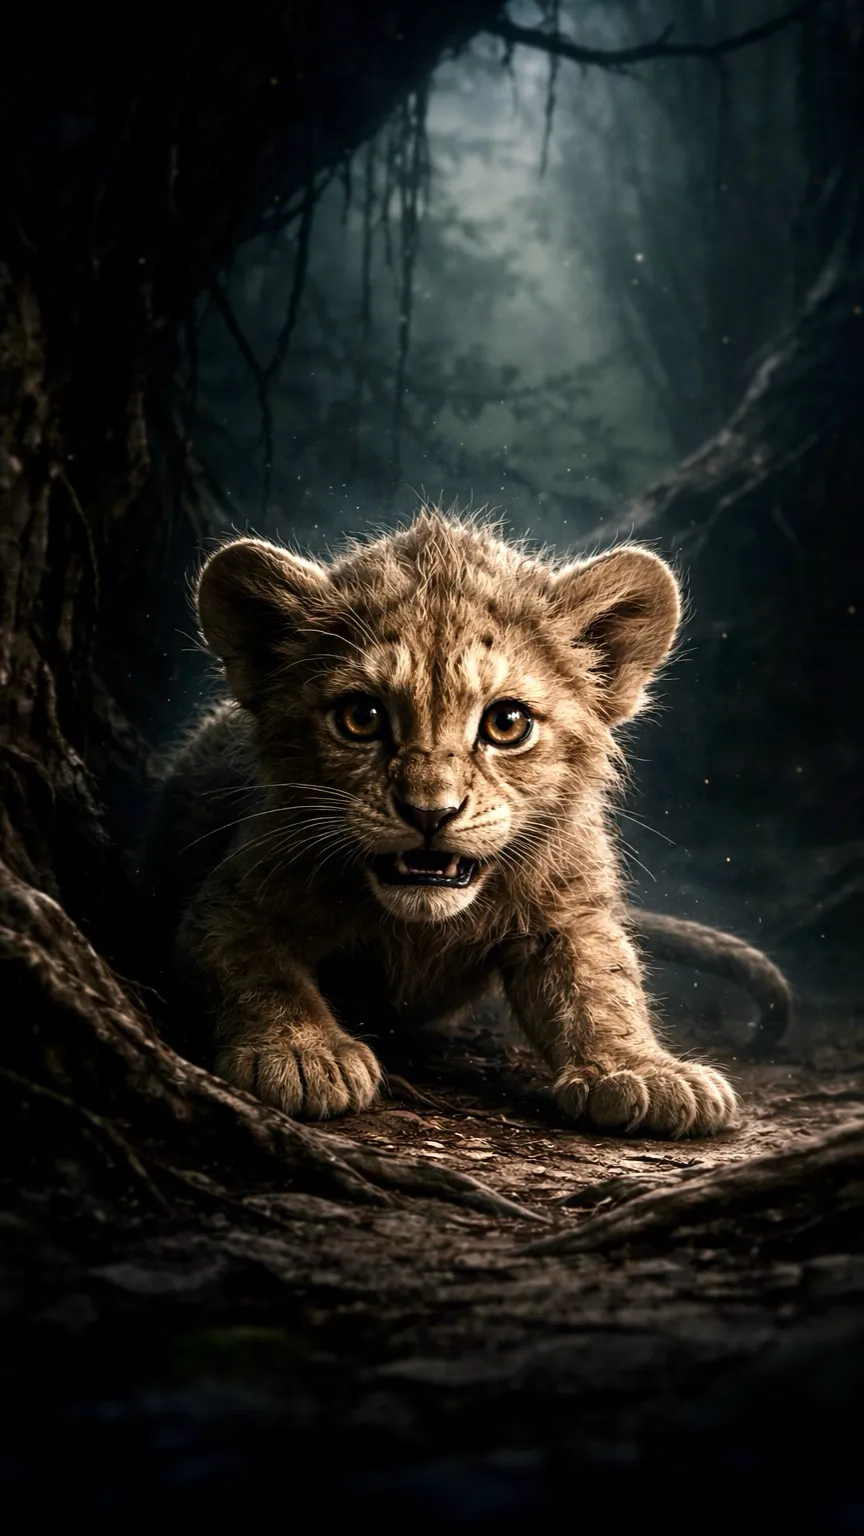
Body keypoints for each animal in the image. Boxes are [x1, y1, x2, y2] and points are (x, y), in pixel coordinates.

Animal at [143, 509, 789, 1137]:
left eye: (507, 723)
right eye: (361, 717)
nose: (430, 812)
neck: (418, 928)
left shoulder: (568, 910)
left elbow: (601, 984)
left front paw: (644, 1073)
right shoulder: (230, 902)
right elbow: (260, 973)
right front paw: (305, 1056)